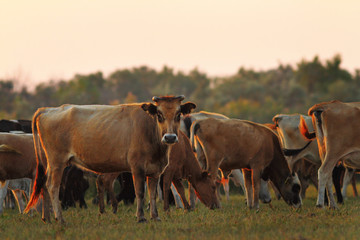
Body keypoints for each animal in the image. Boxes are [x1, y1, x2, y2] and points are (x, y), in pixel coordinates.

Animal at [24, 95, 197, 223]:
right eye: (159, 115)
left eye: (178, 114)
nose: (170, 137)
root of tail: (48, 110)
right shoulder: (137, 167)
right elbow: (140, 192)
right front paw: (141, 217)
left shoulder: (155, 171)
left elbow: (153, 194)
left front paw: (155, 216)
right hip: (57, 161)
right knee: (52, 186)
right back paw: (60, 219)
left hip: (48, 162)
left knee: (44, 185)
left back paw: (47, 218)